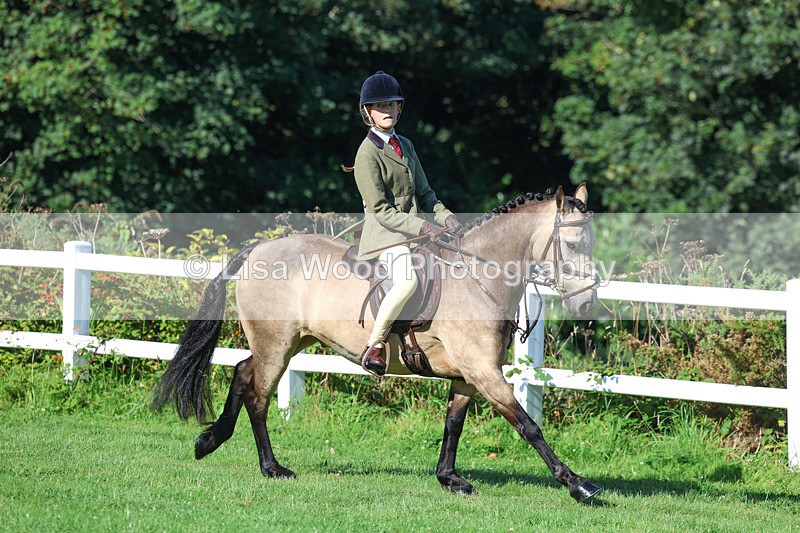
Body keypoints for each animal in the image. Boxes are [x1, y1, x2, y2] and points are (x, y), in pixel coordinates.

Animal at [152, 184, 602, 502]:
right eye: (573, 245)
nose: (586, 302)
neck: (478, 276)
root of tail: (260, 248)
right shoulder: (484, 371)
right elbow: (528, 426)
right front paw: (577, 484)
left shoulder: (469, 374)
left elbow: (453, 423)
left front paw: (449, 478)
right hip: (275, 346)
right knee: (258, 396)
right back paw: (272, 467)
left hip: (286, 342)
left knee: (243, 373)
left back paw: (209, 440)